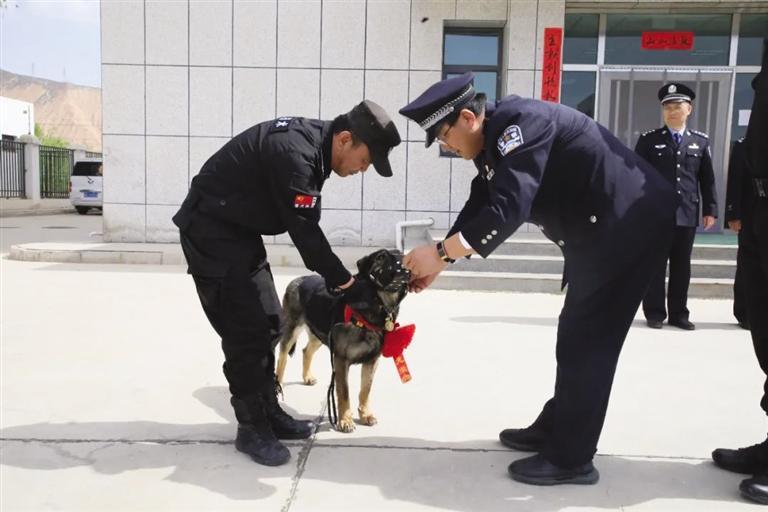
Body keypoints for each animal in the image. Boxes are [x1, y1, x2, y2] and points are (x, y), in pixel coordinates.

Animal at [274, 248, 412, 432]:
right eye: (380, 257)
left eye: (401, 255)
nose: (405, 266)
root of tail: (298, 279)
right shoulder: (341, 360)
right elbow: (344, 392)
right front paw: (345, 420)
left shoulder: (372, 361)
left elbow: (365, 390)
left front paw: (365, 414)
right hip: (292, 329)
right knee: (282, 356)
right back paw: (278, 384)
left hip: (321, 333)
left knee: (306, 351)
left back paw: (307, 377)